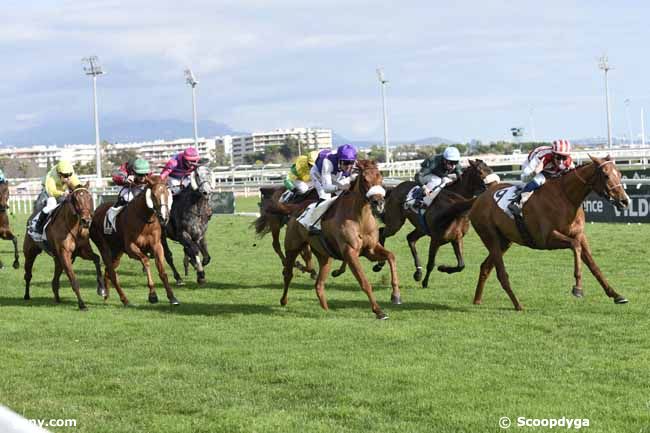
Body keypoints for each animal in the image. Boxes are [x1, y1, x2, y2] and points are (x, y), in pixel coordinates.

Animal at [89, 174, 180, 306]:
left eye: (167, 194)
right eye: (153, 195)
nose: (164, 217)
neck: (145, 220)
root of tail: (95, 211)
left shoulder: (157, 246)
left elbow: (162, 270)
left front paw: (172, 297)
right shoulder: (131, 248)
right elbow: (146, 261)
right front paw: (152, 295)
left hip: (117, 251)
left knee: (108, 270)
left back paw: (107, 295)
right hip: (103, 247)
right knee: (112, 272)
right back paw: (124, 299)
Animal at [280, 159, 398, 318]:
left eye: (381, 178)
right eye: (365, 179)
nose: (378, 203)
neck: (360, 218)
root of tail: (297, 209)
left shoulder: (370, 250)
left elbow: (391, 256)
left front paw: (395, 295)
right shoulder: (350, 252)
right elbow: (364, 282)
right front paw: (379, 311)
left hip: (324, 256)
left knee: (319, 284)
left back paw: (325, 309)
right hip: (293, 247)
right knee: (288, 274)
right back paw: (284, 300)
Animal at [468, 155, 632, 310]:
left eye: (619, 173)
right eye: (605, 175)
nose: (625, 201)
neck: (566, 198)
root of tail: (483, 195)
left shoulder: (580, 235)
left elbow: (593, 265)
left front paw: (616, 295)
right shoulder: (546, 239)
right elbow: (575, 246)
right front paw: (578, 288)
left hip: (504, 241)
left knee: (485, 267)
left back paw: (477, 300)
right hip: (490, 237)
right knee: (501, 274)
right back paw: (517, 304)